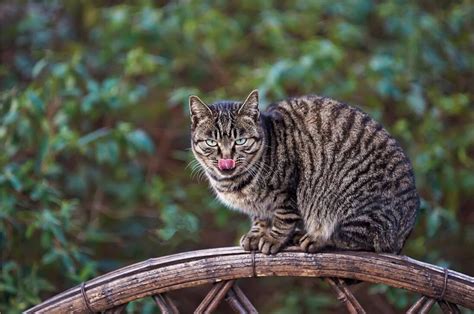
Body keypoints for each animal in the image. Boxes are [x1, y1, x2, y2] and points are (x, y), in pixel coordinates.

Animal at [189, 89, 418, 255]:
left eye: (240, 141)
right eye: (211, 142)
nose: (226, 159)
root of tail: (404, 234)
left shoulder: (287, 191)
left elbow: (283, 218)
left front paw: (272, 239)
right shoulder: (258, 206)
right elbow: (259, 218)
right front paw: (256, 234)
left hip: (355, 205)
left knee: (356, 239)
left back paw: (314, 239)